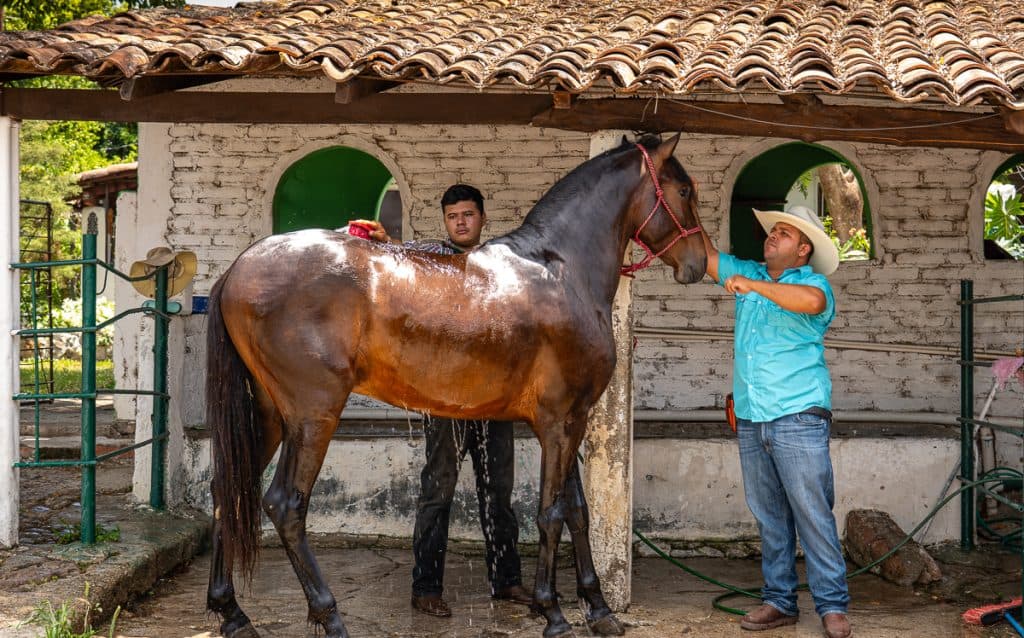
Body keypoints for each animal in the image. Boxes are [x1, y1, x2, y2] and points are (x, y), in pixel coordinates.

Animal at [204, 134, 706, 638]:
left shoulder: (572, 420)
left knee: (228, 491)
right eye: (684, 190)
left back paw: (232, 613)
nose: (699, 264)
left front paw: (599, 610)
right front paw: (554, 613)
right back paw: (330, 617)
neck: (560, 270)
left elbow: (577, 513)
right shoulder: (559, 423)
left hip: (270, 415)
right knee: (285, 505)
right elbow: (551, 514)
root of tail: (238, 268)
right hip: (312, 416)